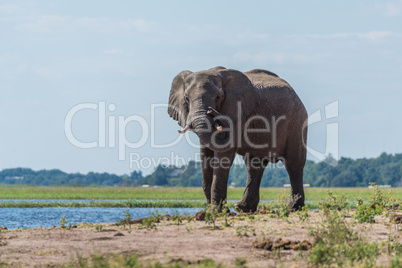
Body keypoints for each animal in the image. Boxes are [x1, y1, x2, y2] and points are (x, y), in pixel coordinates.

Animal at [168, 66, 306, 211]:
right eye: (186, 98)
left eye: (218, 97)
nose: (211, 111)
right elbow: (205, 156)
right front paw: (209, 211)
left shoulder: (237, 114)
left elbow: (223, 155)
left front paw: (218, 211)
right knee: (254, 165)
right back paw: (242, 208)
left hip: (297, 122)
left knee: (293, 164)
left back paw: (294, 208)